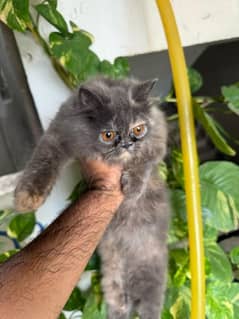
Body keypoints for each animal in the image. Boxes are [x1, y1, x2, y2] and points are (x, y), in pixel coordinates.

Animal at [14, 77, 170, 319]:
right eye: (108, 135)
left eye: (138, 129)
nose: (127, 144)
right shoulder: (59, 134)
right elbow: (43, 162)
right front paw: (27, 197)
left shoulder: (157, 142)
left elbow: (143, 164)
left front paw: (133, 188)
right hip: (113, 271)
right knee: (119, 298)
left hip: (150, 263)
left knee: (149, 304)